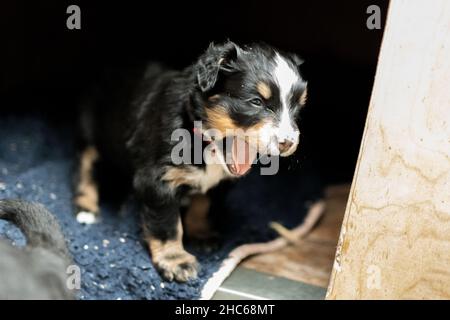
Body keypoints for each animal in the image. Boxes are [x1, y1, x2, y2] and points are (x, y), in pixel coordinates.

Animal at [75, 41, 308, 282]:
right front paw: (175, 261)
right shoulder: (158, 180)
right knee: (85, 167)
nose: (288, 143)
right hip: (89, 131)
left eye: (297, 107)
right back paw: (86, 207)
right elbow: (167, 224)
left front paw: (200, 234)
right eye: (256, 102)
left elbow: (202, 205)